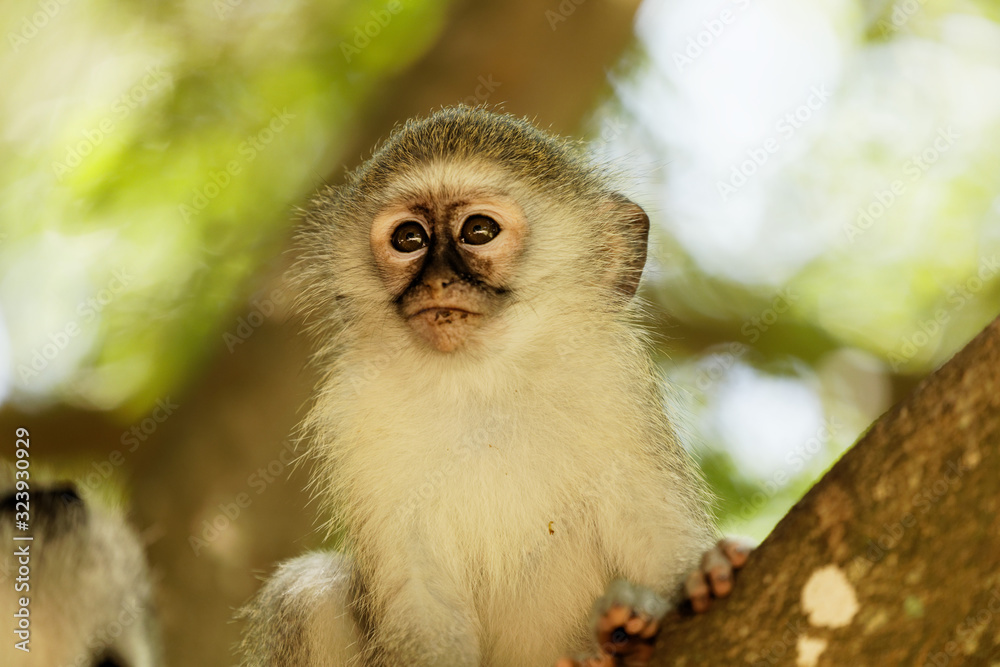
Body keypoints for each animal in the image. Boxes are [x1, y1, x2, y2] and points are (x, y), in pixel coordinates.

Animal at [238, 106, 750, 666]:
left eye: (478, 231)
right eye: (409, 239)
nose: (436, 282)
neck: (482, 385)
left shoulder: (615, 389)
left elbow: (658, 542)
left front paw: (696, 578)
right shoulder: (359, 418)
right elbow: (419, 601)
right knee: (305, 593)